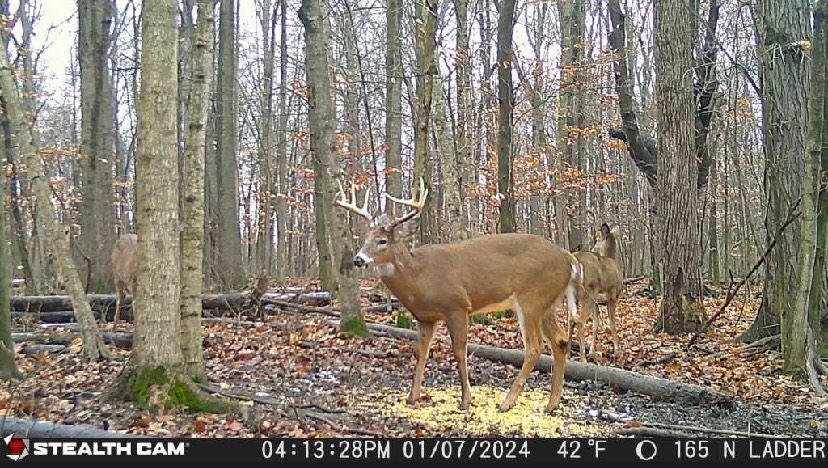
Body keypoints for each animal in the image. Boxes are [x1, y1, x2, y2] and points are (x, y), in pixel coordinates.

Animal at [335, 178, 580, 414]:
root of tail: (569, 258)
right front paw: (412, 397)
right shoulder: (425, 317)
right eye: (365, 238)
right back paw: (551, 404)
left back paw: (507, 403)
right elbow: (421, 353)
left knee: (534, 347)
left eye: (382, 241)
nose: (358, 259)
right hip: (547, 303)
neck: (418, 278)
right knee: (560, 341)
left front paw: (465, 400)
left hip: (531, 299)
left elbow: (459, 351)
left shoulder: (457, 306)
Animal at [570, 223, 623, 362]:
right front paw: (617, 352)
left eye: (597, 240)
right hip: (588, 292)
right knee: (580, 321)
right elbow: (612, 323)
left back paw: (567, 354)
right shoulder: (612, 296)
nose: (593, 247)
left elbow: (595, 325)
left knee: (571, 320)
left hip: (574, 295)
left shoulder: (596, 302)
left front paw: (592, 352)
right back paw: (582, 359)